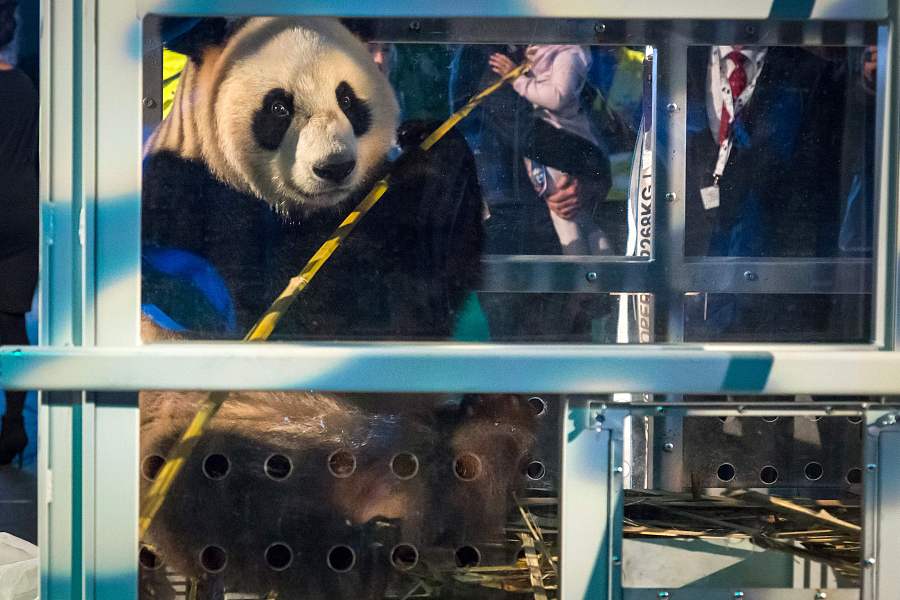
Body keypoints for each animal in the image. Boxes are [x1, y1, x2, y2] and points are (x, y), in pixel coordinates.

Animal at [137, 16, 536, 596]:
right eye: (278, 107)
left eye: (348, 99)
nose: (335, 167)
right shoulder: (187, 203)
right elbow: (314, 315)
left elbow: (409, 311)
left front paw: (430, 145)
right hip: (202, 430)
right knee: (228, 498)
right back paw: (359, 558)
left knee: (477, 443)